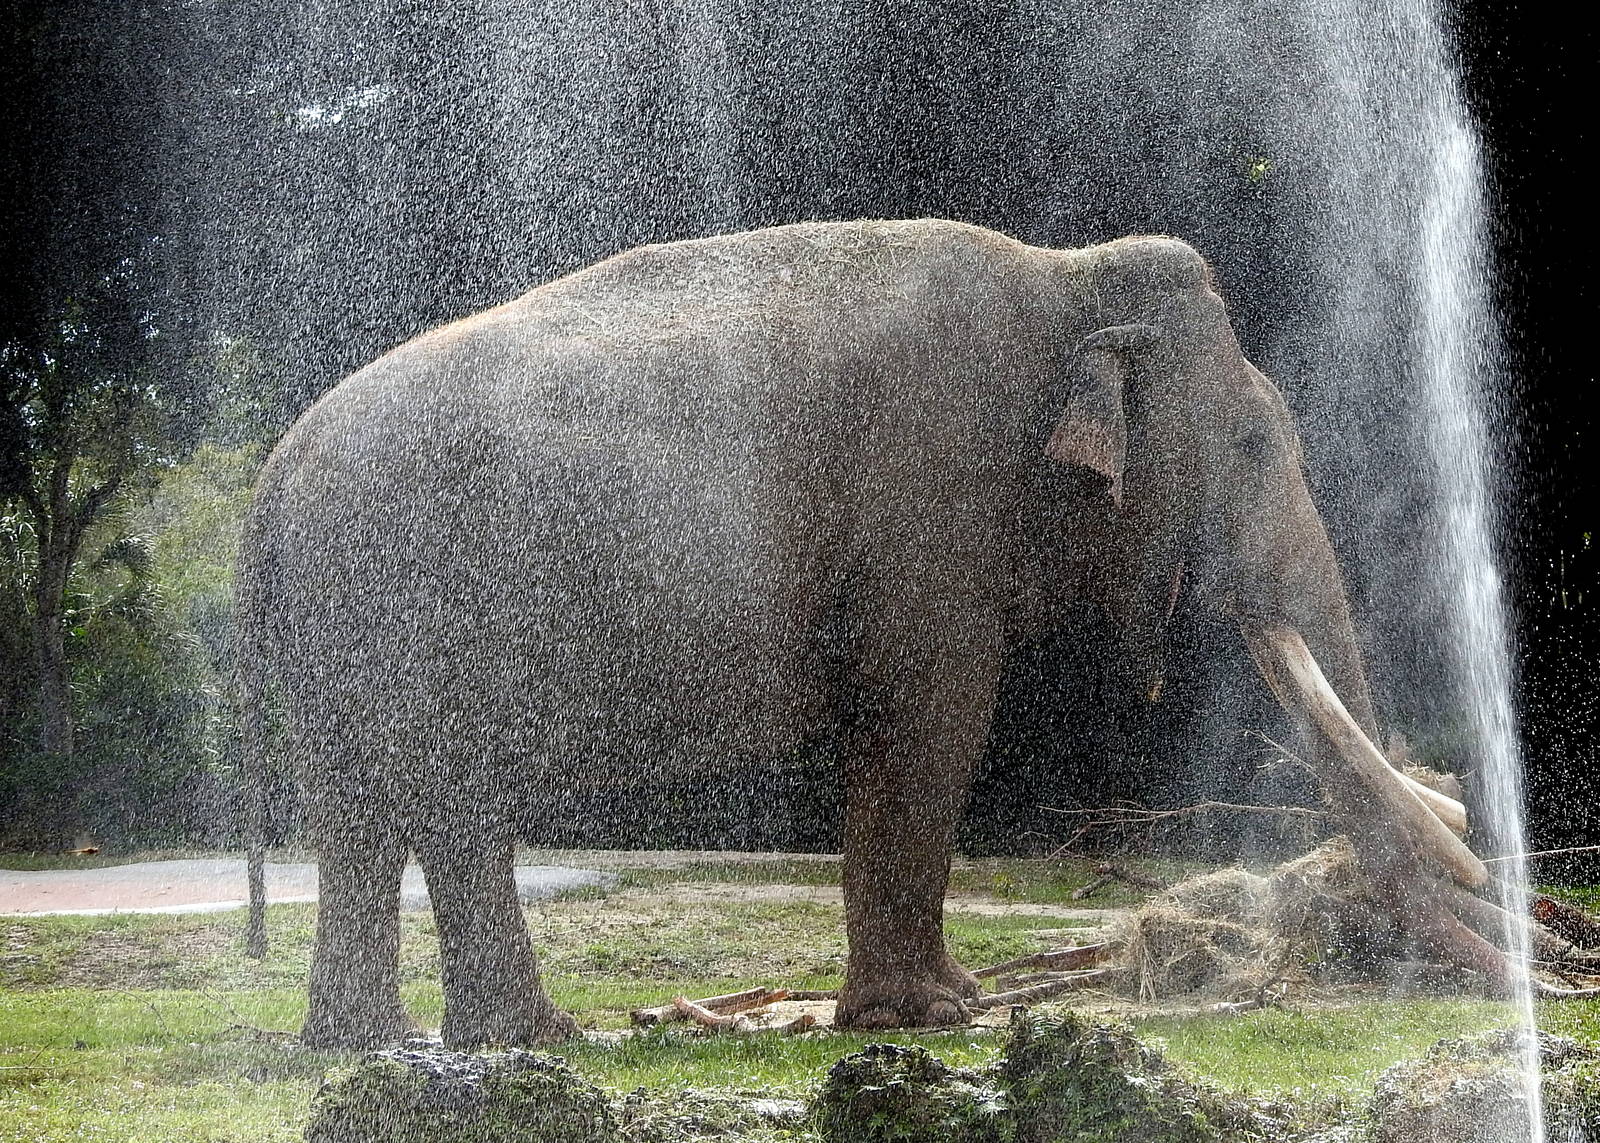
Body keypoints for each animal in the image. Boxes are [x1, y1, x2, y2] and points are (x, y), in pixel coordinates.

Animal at [238, 217, 1482, 1049]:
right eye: (1255, 446)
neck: (1064, 276)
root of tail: (272, 481)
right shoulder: (924, 498)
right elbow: (933, 715)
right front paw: (929, 1016)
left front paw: (958, 1004)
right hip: (409, 599)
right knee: (447, 801)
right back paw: (530, 1040)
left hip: (342, 632)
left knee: (358, 814)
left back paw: (373, 1043)